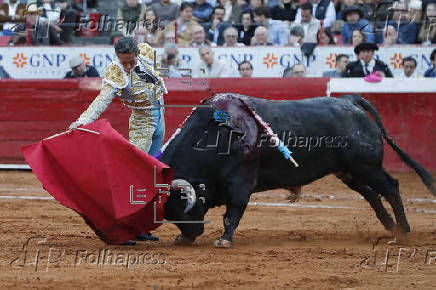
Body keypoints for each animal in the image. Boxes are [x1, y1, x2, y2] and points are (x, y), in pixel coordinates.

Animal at [161, 93, 436, 247]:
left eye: (183, 205)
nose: (194, 232)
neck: (214, 133)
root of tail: (348, 101)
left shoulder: (241, 182)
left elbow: (233, 211)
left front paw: (225, 239)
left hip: (367, 166)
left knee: (390, 187)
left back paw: (403, 230)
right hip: (349, 171)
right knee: (371, 194)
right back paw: (390, 225)